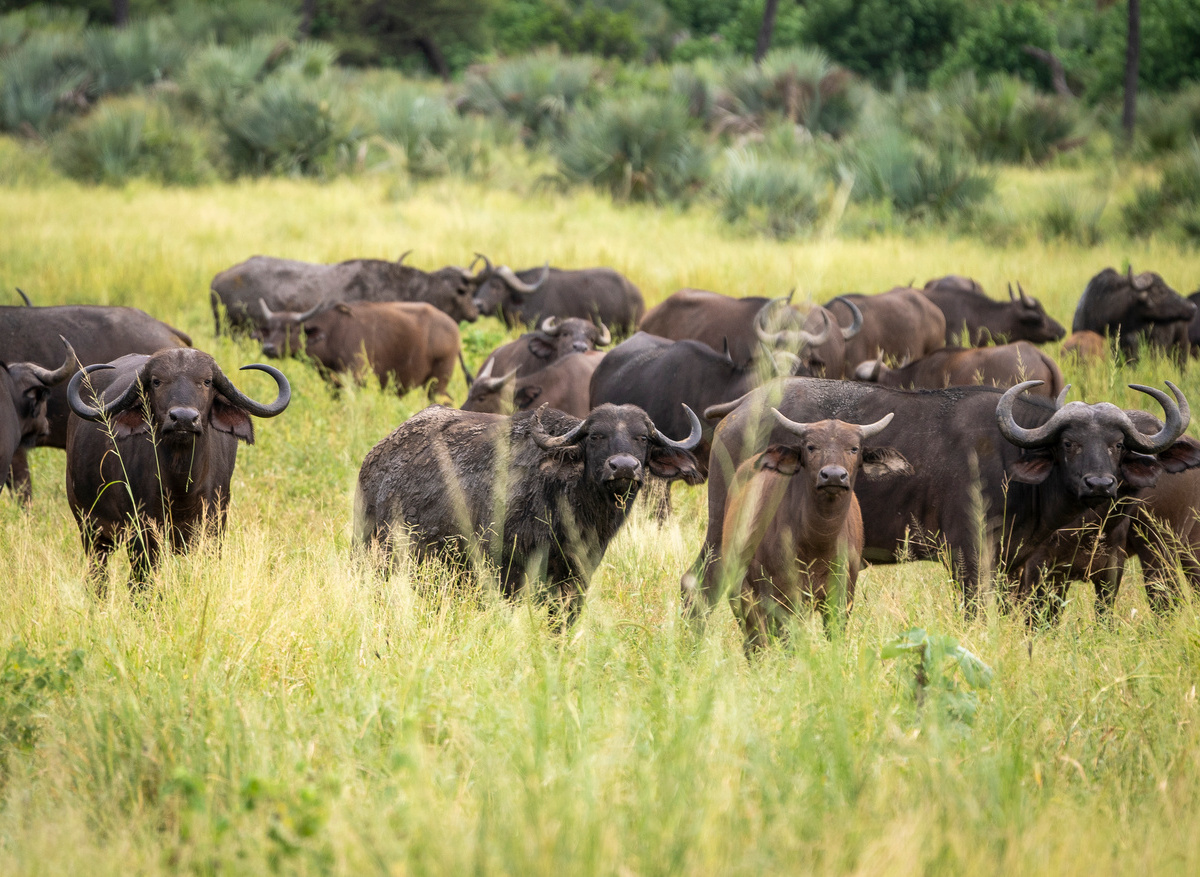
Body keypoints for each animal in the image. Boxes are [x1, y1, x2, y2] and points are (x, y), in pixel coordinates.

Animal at [66, 348, 290, 586]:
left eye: (207, 381)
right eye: (156, 381)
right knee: (98, 577)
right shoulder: (141, 533)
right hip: (90, 529)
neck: (180, 486)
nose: (183, 419)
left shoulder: (214, 527)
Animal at [255, 300, 461, 398]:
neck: (332, 334)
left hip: (437, 382)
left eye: (291, 329)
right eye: (270, 328)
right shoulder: (333, 384)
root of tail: (452, 326)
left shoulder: (357, 378)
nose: (268, 348)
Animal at [354, 403, 703, 628]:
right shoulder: (504, 577)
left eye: (641, 437)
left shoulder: (575, 581)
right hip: (372, 557)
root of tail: (374, 457)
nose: (624, 467)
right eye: (596, 436)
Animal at [721, 411, 909, 649]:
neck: (817, 543)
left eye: (854, 448)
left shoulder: (841, 599)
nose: (834, 476)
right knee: (755, 643)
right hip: (742, 595)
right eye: (811, 446)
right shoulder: (784, 600)